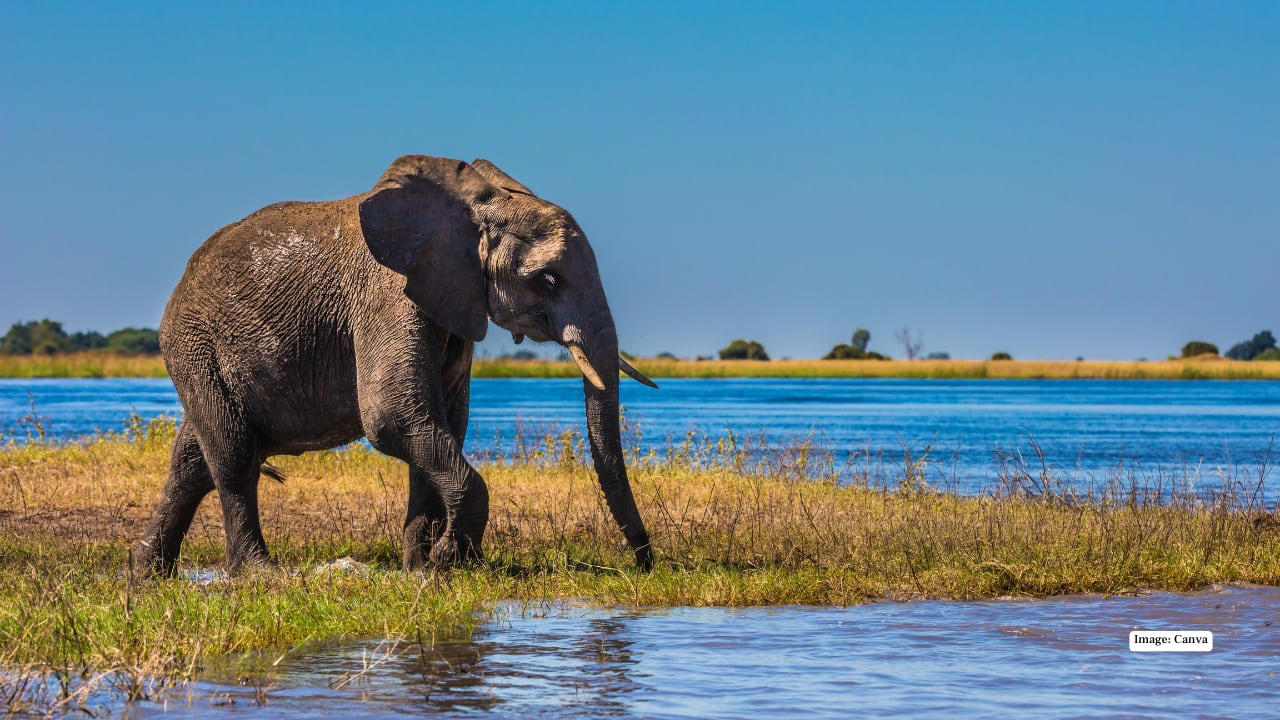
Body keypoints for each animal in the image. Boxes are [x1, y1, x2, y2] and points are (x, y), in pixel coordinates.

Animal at [135, 155, 657, 576]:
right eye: (548, 280)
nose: (645, 562)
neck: (474, 207)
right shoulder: (386, 297)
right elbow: (394, 418)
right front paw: (448, 561)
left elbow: (443, 424)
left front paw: (421, 570)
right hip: (193, 344)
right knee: (232, 456)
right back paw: (260, 575)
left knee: (193, 460)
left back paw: (148, 575)